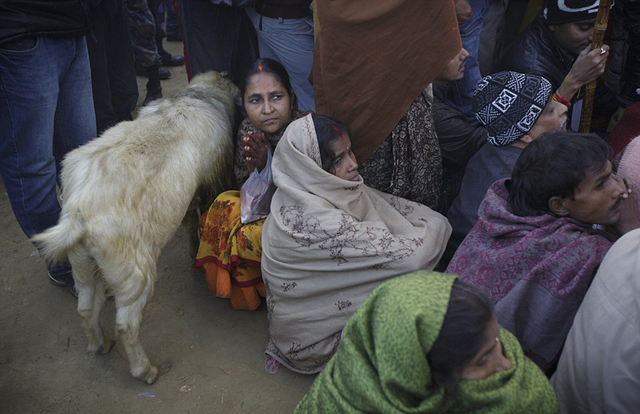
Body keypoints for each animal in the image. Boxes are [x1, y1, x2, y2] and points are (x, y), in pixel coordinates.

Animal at [31, 71, 240, 384]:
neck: (196, 96)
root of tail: (78, 213)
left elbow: (191, 221)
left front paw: (193, 251)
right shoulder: (212, 181)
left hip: (83, 263)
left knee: (85, 308)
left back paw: (100, 344)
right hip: (134, 270)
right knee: (126, 325)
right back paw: (145, 370)